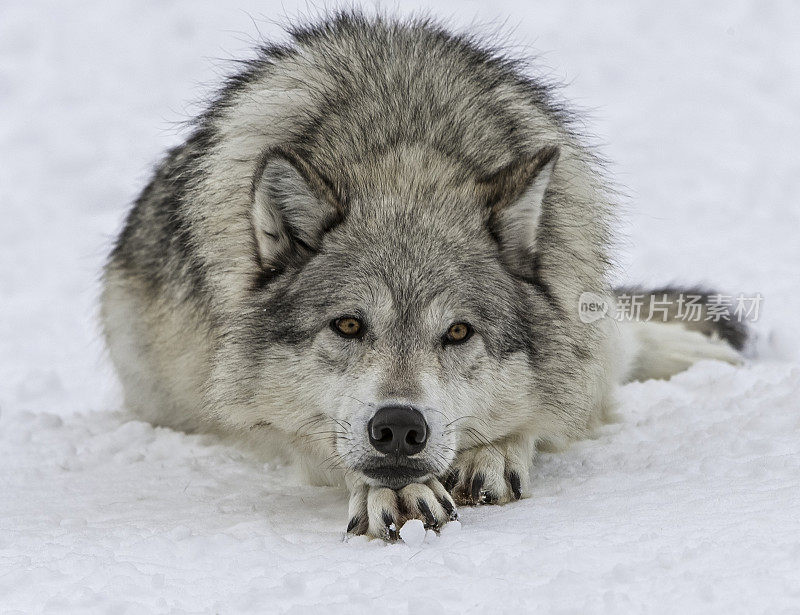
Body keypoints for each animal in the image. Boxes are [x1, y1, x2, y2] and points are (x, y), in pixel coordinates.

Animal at [100, 10, 744, 540]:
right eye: (348, 325)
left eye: (458, 332)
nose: (399, 429)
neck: (404, 147)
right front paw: (398, 491)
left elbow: (543, 410)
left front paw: (491, 455)